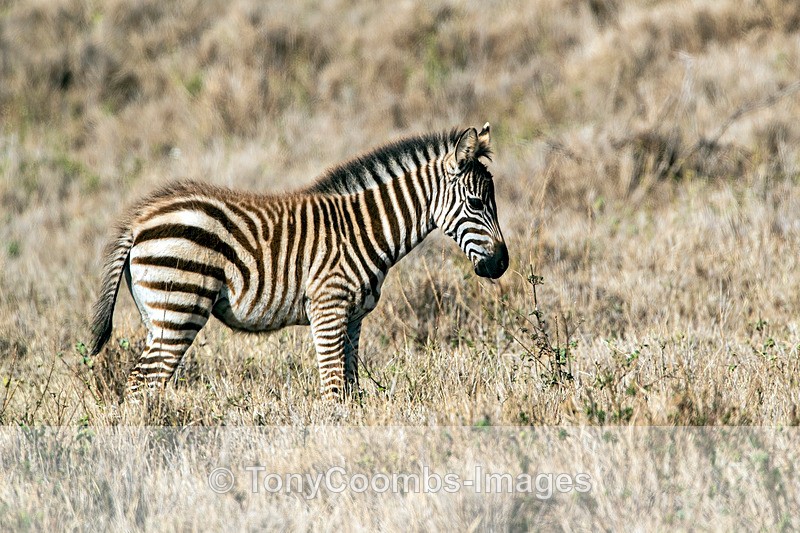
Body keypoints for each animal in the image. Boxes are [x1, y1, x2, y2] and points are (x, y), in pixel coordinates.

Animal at [90, 123, 509, 401]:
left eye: (494, 202)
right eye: (476, 203)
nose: (501, 265)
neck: (363, 229)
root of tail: (139, 222)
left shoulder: (353, 317)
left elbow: (350, 387)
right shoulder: (328, 307)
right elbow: (333, 388)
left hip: (158, 315)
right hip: (180, 305)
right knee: (141, 382)